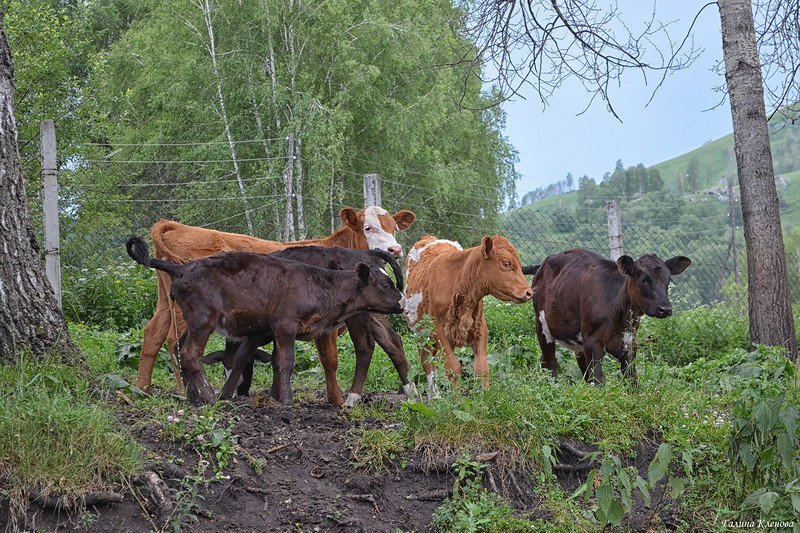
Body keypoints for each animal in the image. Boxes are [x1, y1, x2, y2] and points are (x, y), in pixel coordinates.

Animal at [135, 206, 416, 392]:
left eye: (394, 228)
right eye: (368, 227)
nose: (395, 249)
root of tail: (174, 226)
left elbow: (391, 343)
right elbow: (331, 360)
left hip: (165, 303)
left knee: (153, 334)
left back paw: (143, 390)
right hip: (191, 314)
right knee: (177, 344)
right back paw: (189, 392)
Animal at [406, 235, 532, 392]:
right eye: (506, 263)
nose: (529, 292)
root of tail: (429, 237)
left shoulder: (480, 328)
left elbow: (482, 368)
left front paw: (485, 396)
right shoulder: (440, 329)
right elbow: (453, 367)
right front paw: (456, 398)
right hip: (422, 335)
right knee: (427, 363)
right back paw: (434, 395)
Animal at [528, 249, 692, 382]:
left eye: (668, 280)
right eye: (644, 280)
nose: (665, 309)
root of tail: (544, 264)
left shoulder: (629, 344)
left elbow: (632, 380)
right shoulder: (592, 342)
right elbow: (598, 379)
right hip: (542, 327)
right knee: (549, 362)